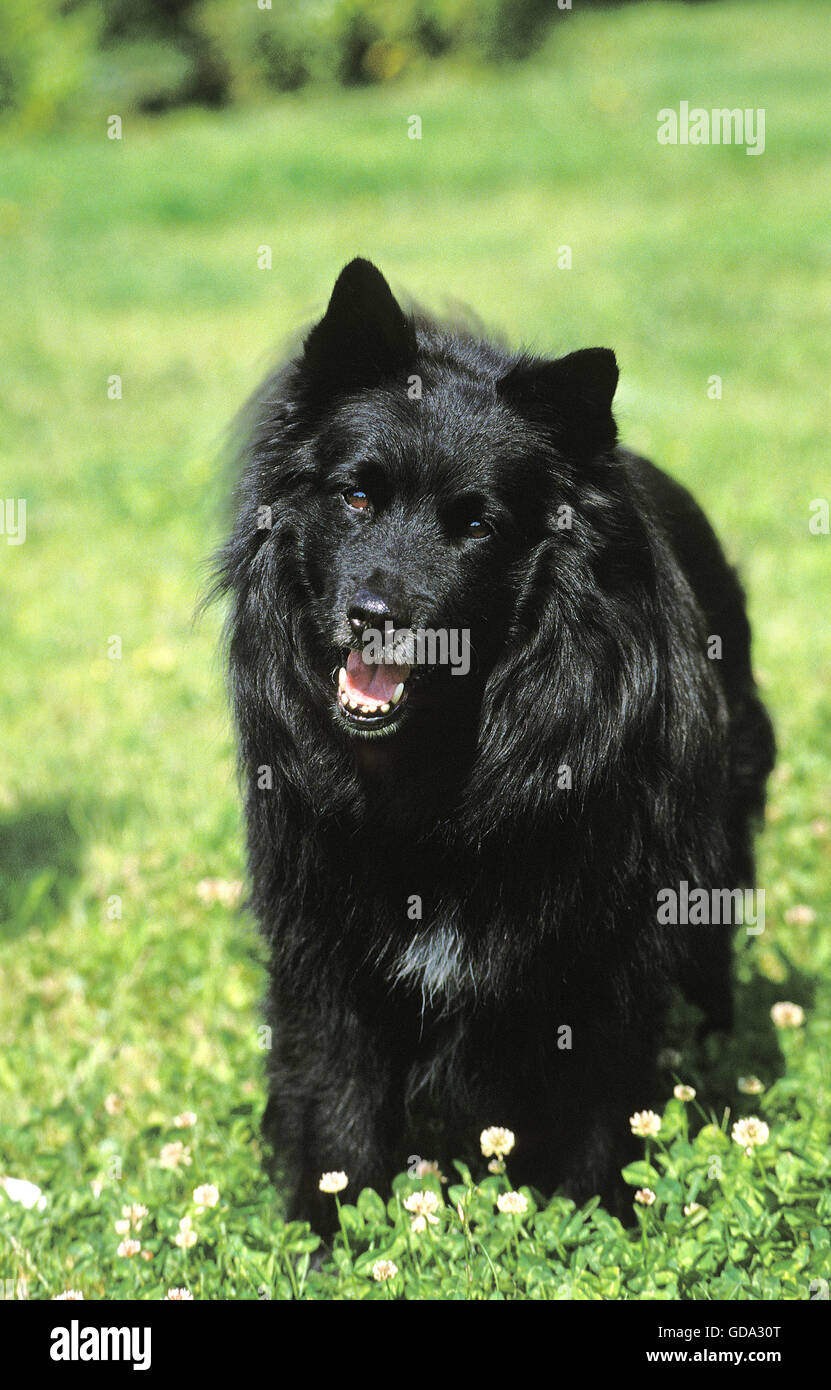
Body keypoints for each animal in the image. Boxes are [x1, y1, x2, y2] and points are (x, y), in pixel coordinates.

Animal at [215, 255, 772, 1234]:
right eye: (355, 496)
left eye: (475, 524)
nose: (374, 617)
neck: (441, 766)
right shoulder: (325, 949)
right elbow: (335, 1109)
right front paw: (329, 1242)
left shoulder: (606, 951)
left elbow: (599, 1109)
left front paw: (596, 1231)